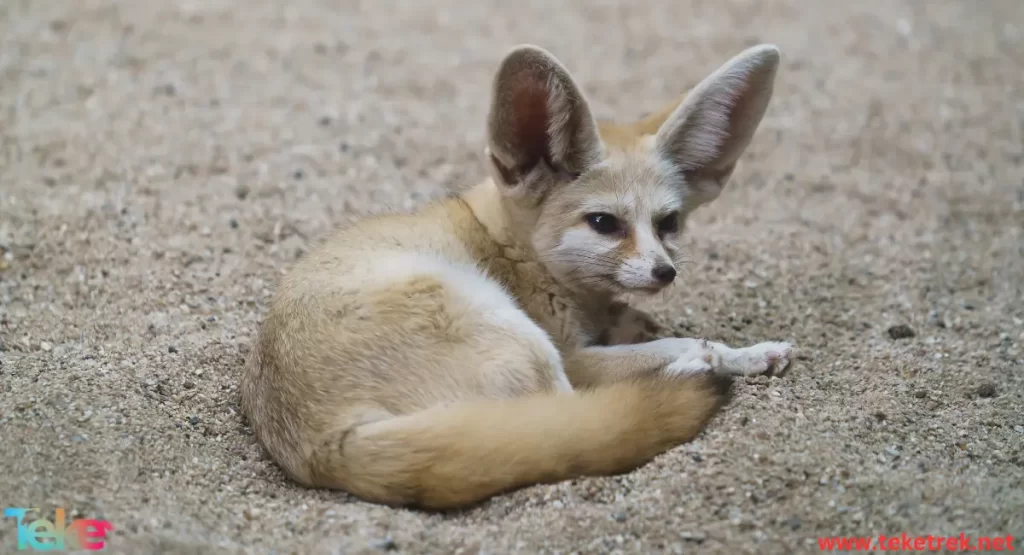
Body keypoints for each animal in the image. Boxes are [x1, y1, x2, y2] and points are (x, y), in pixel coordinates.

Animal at [239, 43, 790, 511]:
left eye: (668, 223)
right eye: (604, 223)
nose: (664, 272)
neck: (511, 245)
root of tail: (323, 446)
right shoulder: (573, 353)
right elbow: (680, 344)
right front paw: (730, 354)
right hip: (518, 338)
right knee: (574, 413)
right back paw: (691, 372)